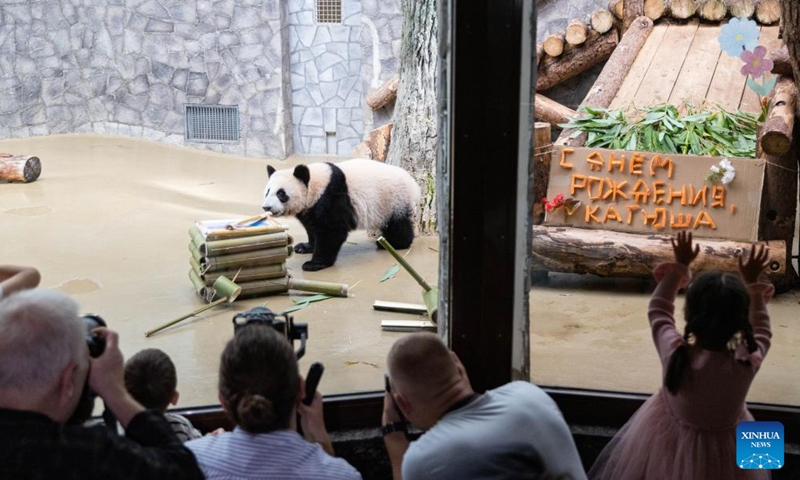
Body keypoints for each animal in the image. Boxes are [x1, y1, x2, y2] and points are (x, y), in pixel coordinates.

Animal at [264, 159, 424, 272]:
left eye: (281, 193)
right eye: (267, 191)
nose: (267, 207)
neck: (316, 183)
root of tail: (413, 185)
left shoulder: (332, 197)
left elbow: (332, 231)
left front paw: (314, 264)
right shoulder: (311, 208)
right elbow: (312, 227)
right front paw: (305, 247)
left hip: (393, 200)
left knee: (397, 225)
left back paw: (394, 244)